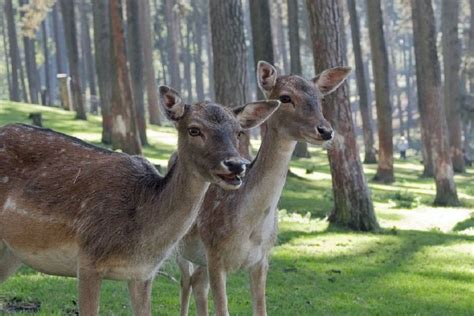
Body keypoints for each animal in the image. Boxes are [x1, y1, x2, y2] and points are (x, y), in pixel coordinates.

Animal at [0, 85, 280, 314]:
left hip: (11, 252)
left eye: (239, 132)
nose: (236, 165)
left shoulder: (143, 274)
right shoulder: (88, 259)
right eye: (194, 129)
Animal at [178, 61, 352, 316]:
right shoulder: (215, 254)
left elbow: (260, 309)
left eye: (320, 98)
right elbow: (222, 309)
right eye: (285, 97)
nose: (326, 131)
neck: (249, 228)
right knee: (185, 283)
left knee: (197, 284)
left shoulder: (261, 260)